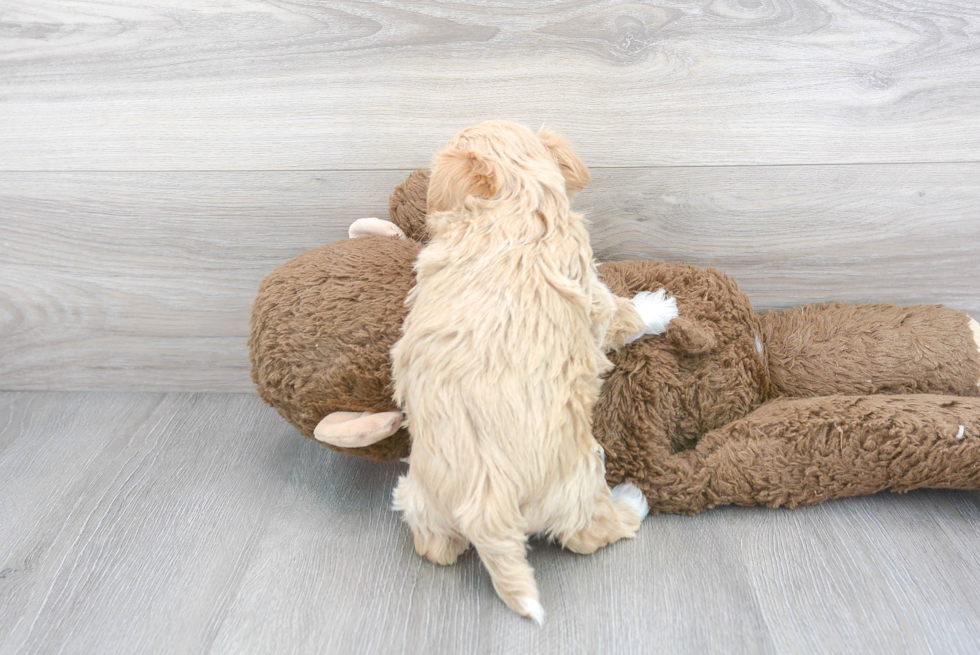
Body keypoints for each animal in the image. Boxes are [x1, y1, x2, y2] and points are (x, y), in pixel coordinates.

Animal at [390, 123, 672, 624]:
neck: (515, 203)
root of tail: (488, 507)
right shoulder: (592, 296)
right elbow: (624, 313)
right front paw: (660, 307)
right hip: (579, 478)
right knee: (588, 532)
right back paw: (631, 502)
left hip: (419, 494)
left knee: (435, 544)